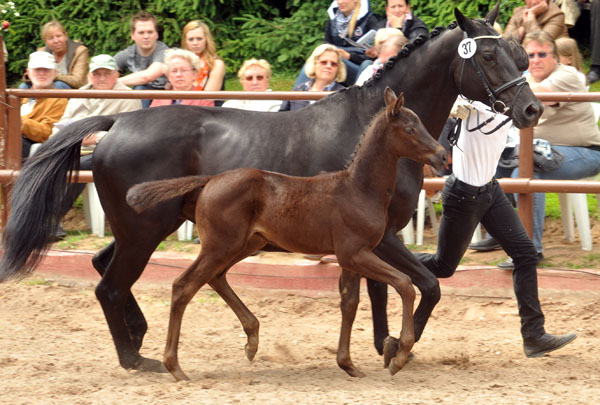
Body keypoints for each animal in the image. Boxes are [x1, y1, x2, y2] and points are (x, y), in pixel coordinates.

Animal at [125, 87, 446, 378]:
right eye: (410, 129)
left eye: (420, 123)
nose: (442, 155)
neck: (358, 188)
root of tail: (210, 180)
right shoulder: (356, 253)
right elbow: (404, 284)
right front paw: (398, 356)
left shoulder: (350, 258)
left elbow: (350, 304)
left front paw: (348, 364)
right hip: (220, 246)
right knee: (184, 286)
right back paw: (174, 366)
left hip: (243, 245)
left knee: (215, 278)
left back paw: (251, 341)